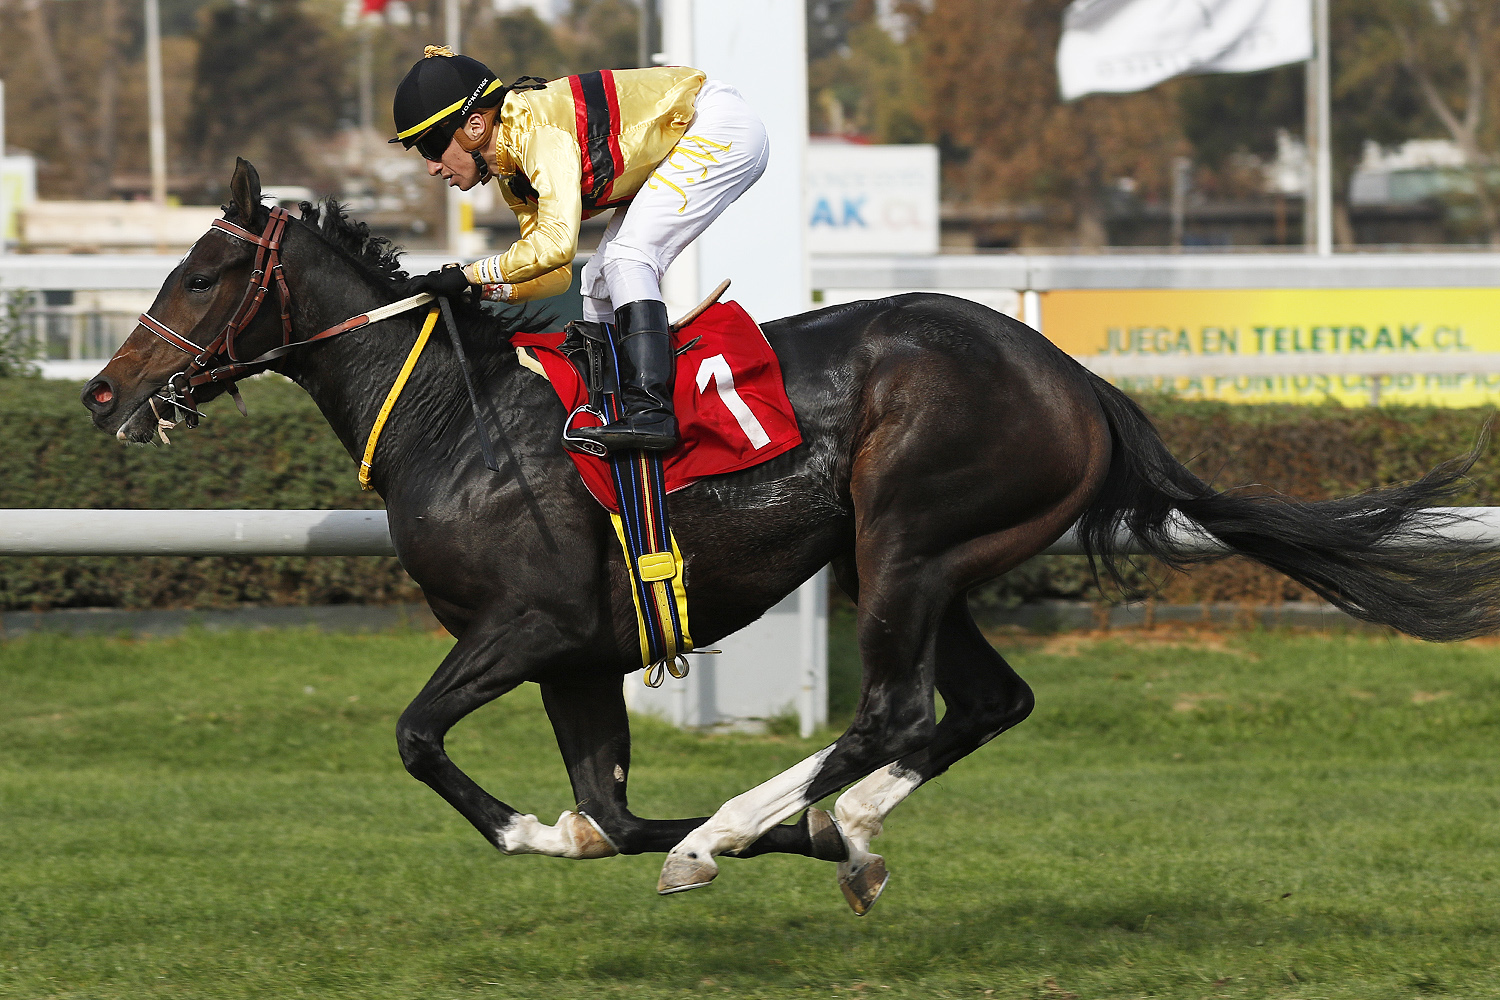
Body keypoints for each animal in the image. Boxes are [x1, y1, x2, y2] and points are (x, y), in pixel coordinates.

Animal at [81, 160, 1500, 914]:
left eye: (201, 273)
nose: (103, 393)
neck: (452, 414)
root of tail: (1077, 378)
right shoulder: (580, 657)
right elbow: (608, 806)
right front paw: (766, 837)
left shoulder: (529, 625)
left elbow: (422, 737)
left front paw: (572, 834)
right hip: (913, 560)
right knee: (985, 703)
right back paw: (842, 827)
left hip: (909, 536)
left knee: (893, 706)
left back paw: (742, 830)